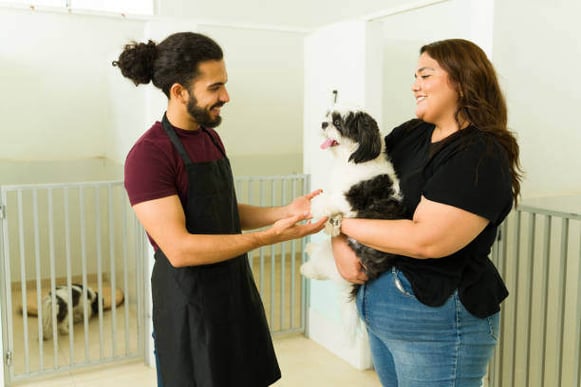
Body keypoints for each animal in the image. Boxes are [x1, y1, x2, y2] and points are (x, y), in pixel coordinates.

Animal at [302, 107, 406, 320]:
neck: (350, 160)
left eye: (338, 123)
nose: (324, 124)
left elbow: (328, 200)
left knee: (322, 265)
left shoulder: (348, 200)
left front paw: (314, 206)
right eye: (328, 116)